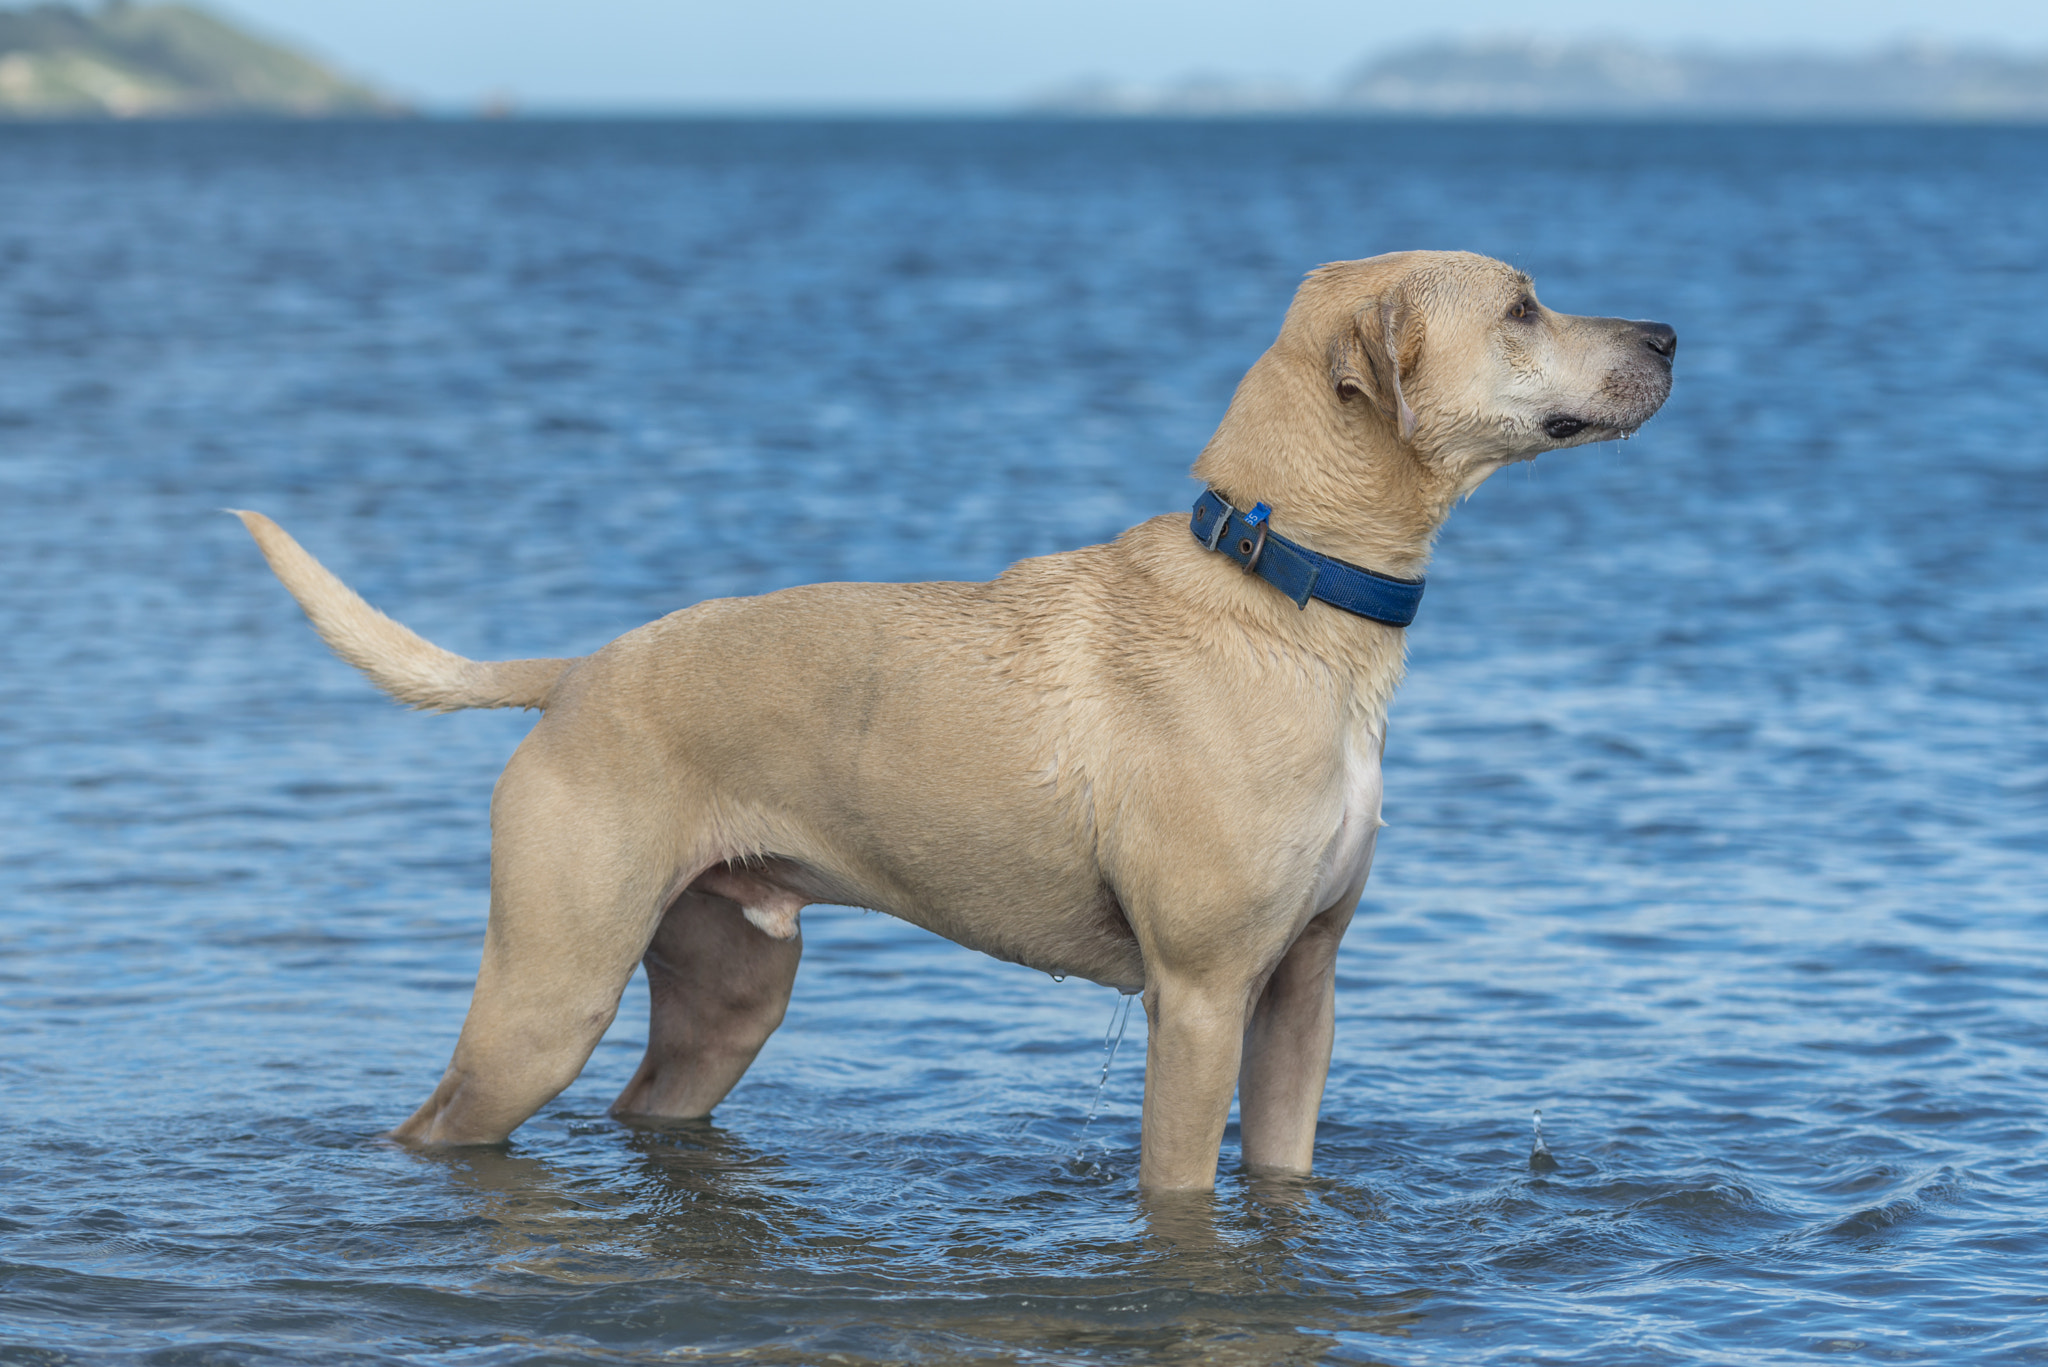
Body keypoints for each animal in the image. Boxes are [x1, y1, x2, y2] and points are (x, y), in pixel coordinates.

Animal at [239, 251, 1671, 1188]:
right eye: (1520, 307)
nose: (1666, 333)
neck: (1282, 586)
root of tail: (578, 670)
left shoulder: (1301, 992)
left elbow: (1283, 1172)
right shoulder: (1202, 997)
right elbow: (1180, 1190)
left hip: (727, 996)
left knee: (652, 1102)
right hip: (547, 996)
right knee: (440, 1121)